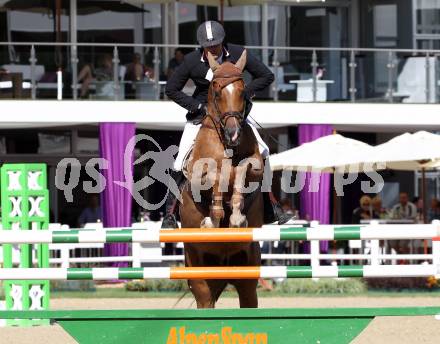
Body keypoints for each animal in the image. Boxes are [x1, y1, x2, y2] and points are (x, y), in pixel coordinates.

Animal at [179, 50, 264, 310]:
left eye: (243, 91)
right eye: (216, 91)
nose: (233, 134)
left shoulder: (256, 168)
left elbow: (240, 169)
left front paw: (236, 217)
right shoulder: (198, 176)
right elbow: (219, 173)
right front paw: (212, 219)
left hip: (246, 274)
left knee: (248, 295)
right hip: (198, 270)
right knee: (204, 298)